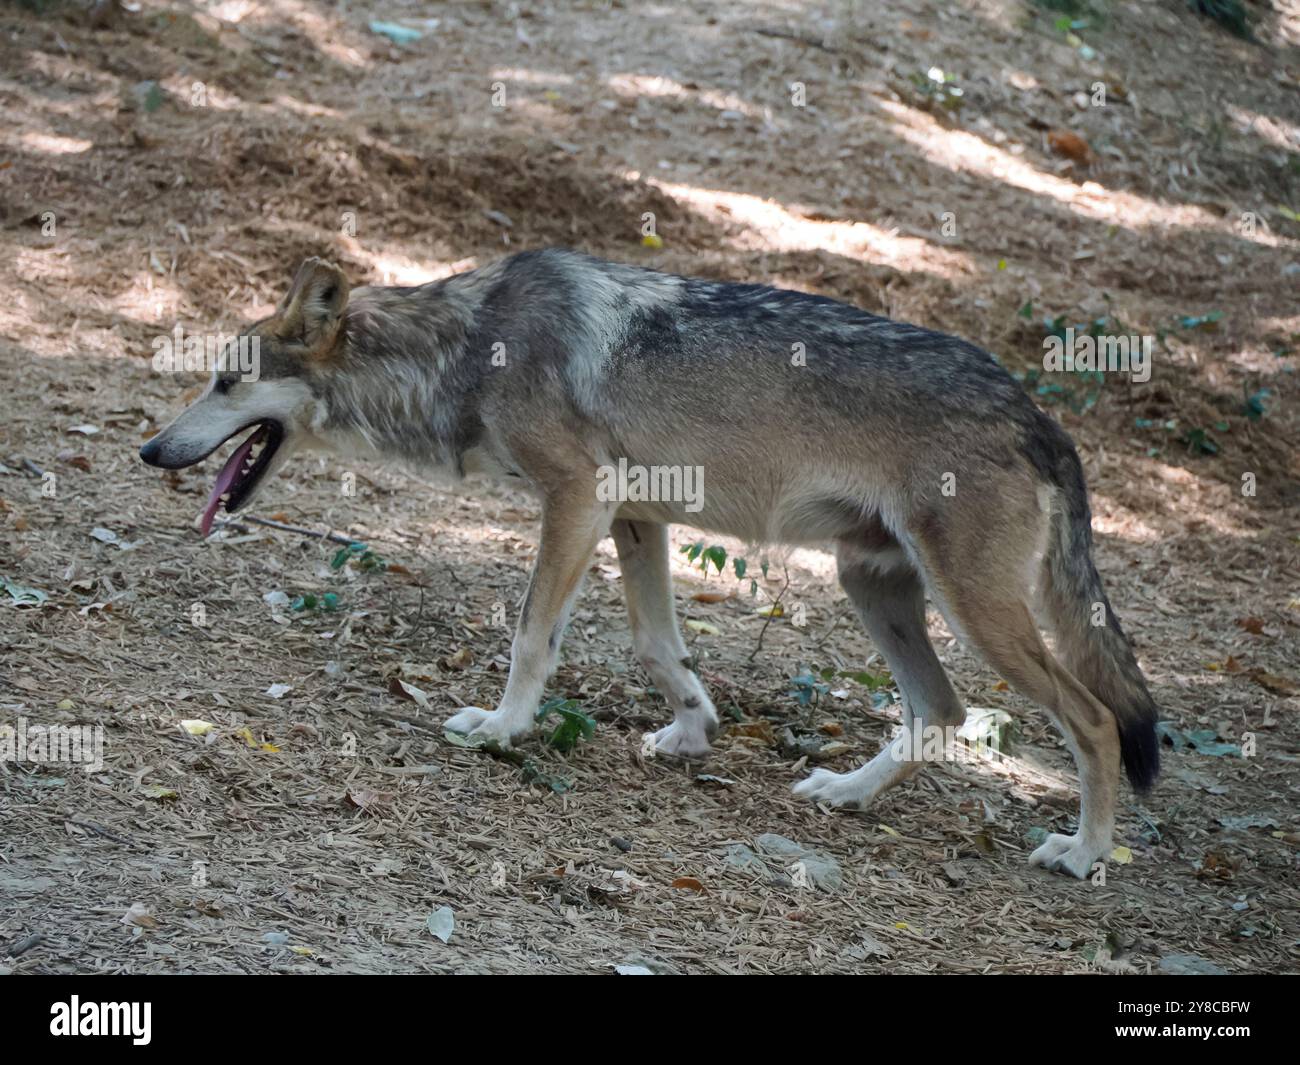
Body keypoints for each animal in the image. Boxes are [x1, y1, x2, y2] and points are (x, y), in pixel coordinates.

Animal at [139, 248, 1159, 873]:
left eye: (225, 380)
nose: (151, 450)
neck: (467, 346)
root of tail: (1042, 415)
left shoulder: (577, 501)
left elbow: (530, 635)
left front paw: (501, 728)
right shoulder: (635, 516)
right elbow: (657, 645)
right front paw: (693, 730)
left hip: (974, 611)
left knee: (1093, 718)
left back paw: (1082, 854)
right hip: (873, 585)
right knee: (941, 711)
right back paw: (844, 792)